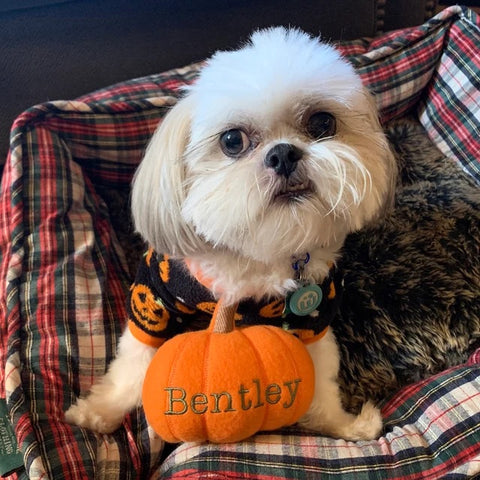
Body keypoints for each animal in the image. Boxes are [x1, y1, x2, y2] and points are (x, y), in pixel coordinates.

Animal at [65, 27, 396, 442]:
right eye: (232, 141)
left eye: (322, 123)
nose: (283, 154)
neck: (255, 255)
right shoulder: (154, 299)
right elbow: (134, 360)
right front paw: (99, 412)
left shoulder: (315, 314)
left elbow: (320, 381)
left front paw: (343, 426)